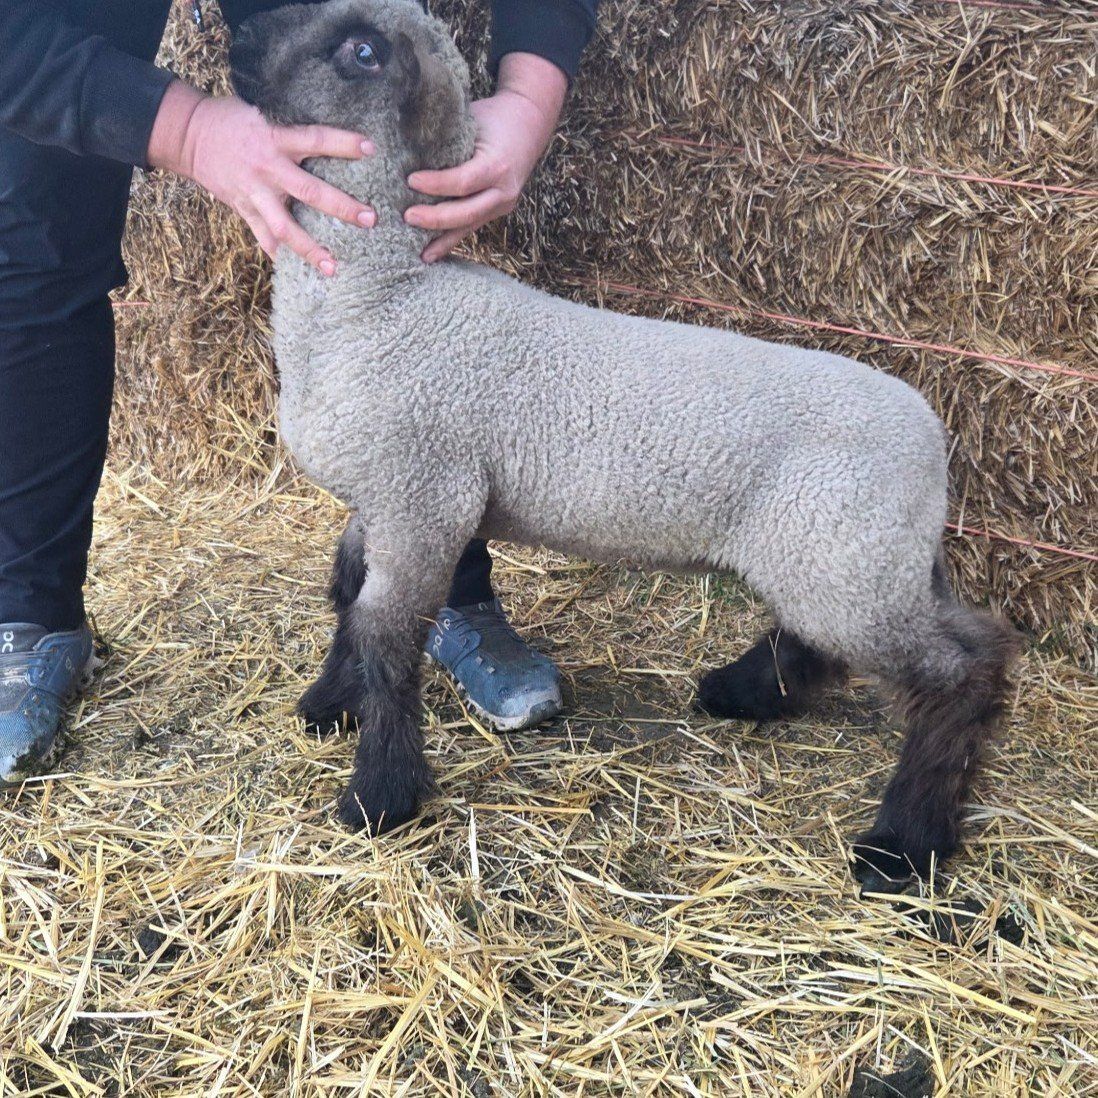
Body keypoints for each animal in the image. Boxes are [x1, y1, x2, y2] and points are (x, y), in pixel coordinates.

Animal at [229, 0, 1018, 893]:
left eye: (362, 51)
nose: (237, 41)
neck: (379, 298)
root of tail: (931, 439)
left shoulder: (424, 497)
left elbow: (387, 636)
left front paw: (380, 795)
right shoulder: (380, 500)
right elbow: (347, 600)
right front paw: (329, 705)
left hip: (845, 561)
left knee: (955, 674)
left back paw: (905, 843)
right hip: (856, 557)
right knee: (946, 641)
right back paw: (743, 694)